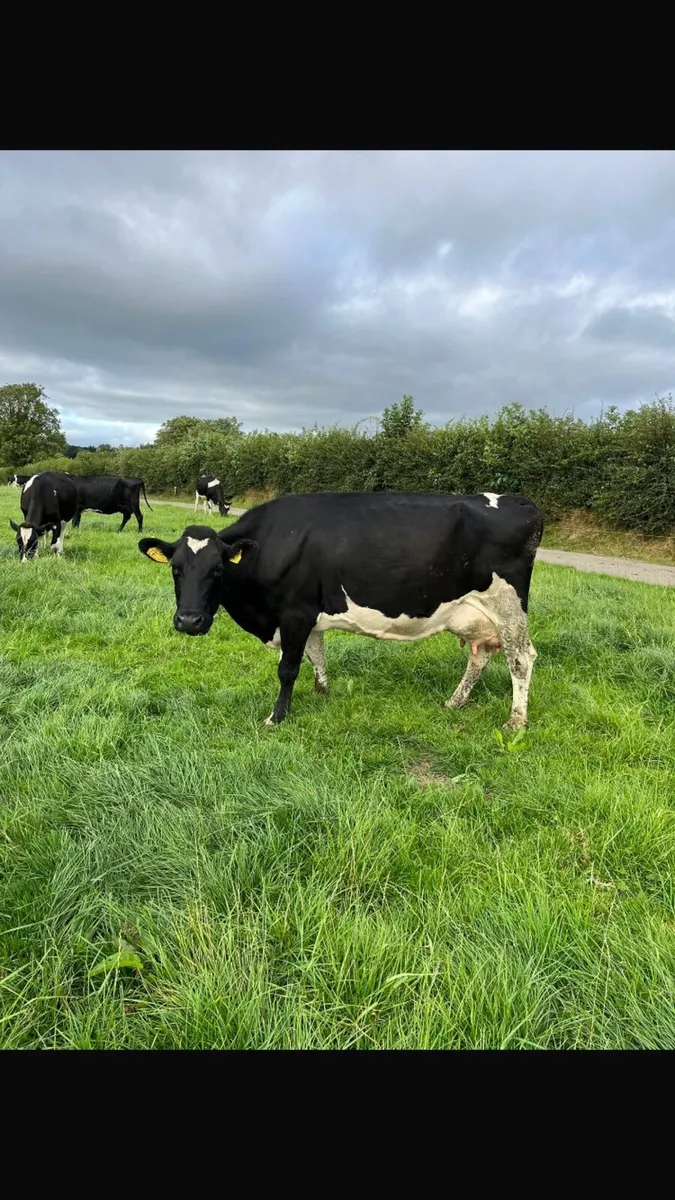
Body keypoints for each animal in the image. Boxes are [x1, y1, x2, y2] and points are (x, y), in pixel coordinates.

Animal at [138, 491, 543, 732]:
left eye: (218, 569)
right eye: (175, 568)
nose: (189, 620)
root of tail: (520, 502)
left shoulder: (295, 612)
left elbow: (287, 668)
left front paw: (277, 716)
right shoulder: (309, 616)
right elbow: (317, 654)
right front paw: (322, 693)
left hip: (507, 603)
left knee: (520, 658)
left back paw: (515, 722)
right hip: (476, 613)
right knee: (481, 655)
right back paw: (455, 702)